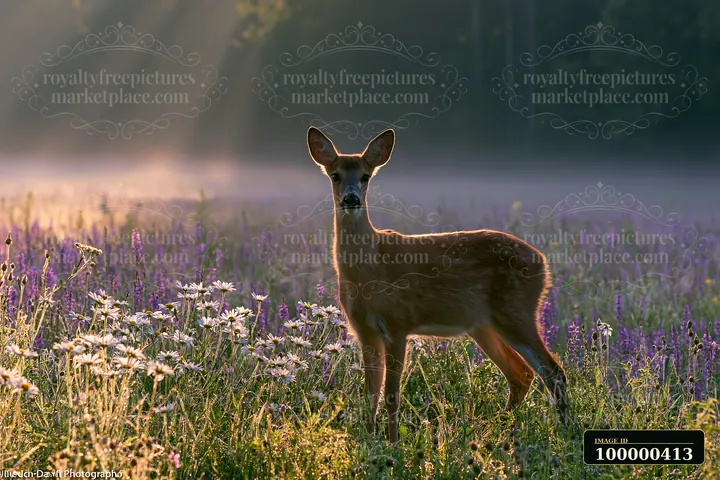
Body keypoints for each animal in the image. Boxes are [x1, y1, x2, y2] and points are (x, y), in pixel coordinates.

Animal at [306, 126, 569, 442]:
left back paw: (564, 431)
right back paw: (501, 431)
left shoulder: (398, 323)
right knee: (521, 374)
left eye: (366, 175)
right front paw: (370, 440)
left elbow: (392, 394)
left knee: (553, 372)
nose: (351, 198)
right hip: (483, 325)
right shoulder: (364, 331)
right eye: (335, 175)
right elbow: (371, 394)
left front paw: (392, 443)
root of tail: (543, 263)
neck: (369, 268)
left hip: (516, 312)